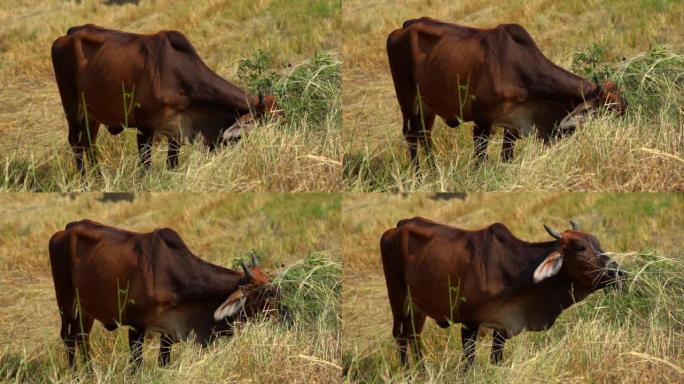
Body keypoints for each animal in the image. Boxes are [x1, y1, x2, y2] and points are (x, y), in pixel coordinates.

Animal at [48, 220, 288, 370]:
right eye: (264, 296)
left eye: (277, 291)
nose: (284, 321)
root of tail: (67, 229)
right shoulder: (137, 326)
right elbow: (136, 365)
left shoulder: (169, 331)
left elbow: (163, 361)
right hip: (66, 301)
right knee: (68, 337)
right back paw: (77, 374)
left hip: (86, 308)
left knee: (82, 337)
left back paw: (90, 373)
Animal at [51, 24, 278, 173]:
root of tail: (70, 33)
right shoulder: (144, 128)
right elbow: (146, 166)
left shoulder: (176, 130)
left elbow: (172, 163)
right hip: (71, 105)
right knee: (75, 141)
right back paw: (84, 180)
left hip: (93, 113)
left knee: (89, 142)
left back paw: (98, 177)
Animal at [380, 218, 624, 368]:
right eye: (580, 249)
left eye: (597, 243)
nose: (619, 273)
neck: (515, 270)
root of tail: (399, 226)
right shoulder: (469, 322)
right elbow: (469, 363)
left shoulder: (503, 324)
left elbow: (496, 358)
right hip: (398, 297)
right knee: (400, 334)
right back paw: (409, 372)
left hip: (418, 305)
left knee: (414, 335)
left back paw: (423, 371)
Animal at [384, 16, 624, 170]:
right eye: (609, 110)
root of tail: (405, 27)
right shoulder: (482, 121)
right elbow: (480, 160)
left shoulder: (512, 126)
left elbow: (506, 156)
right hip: (407, 99)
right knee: (411, 135)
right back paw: (418, 177)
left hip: (428, 105)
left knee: (424, 135)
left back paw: (434, 172)